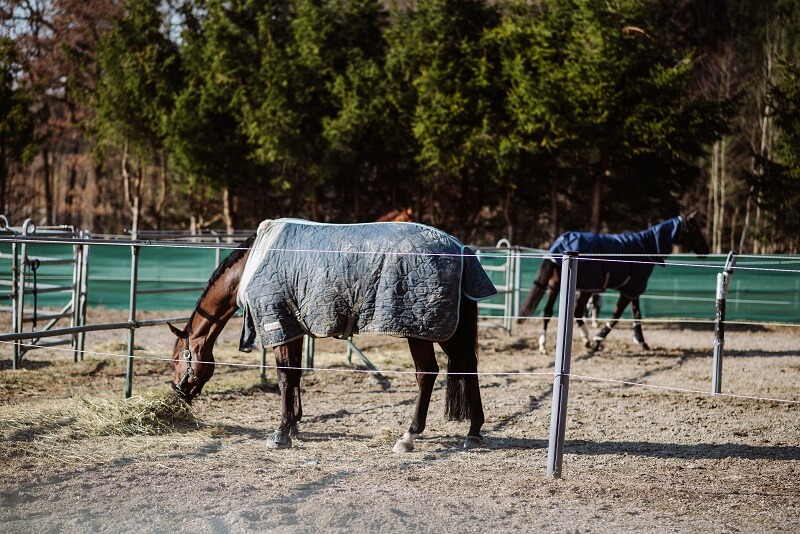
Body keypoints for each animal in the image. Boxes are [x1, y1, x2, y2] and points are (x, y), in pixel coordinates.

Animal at [167, 220, 494, 454]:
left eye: (177, 357)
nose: (177, 391)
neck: (254, 263)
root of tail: (461, 249)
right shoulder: (294, 327)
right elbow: (295, 374)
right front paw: (294, 425)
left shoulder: (277, 324)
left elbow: (284, 377)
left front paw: (280, 433)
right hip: (442, 329)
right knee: (467, 366)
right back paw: (474, 432)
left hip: (422, 328)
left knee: (427, 375)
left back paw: (409, 436)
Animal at [520, 211, 712, 354]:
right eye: (695, 228)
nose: (706, 250)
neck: (646, 247)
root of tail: (559, 243)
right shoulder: (630, 290)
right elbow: (616, 316)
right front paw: (598, 341)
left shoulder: (633, 289)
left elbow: (637, 314)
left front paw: (641, 341)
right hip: (584, 287)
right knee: (574, 311)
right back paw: (586, 339)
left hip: (558, 286)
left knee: (551, 311)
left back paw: (545, 344)